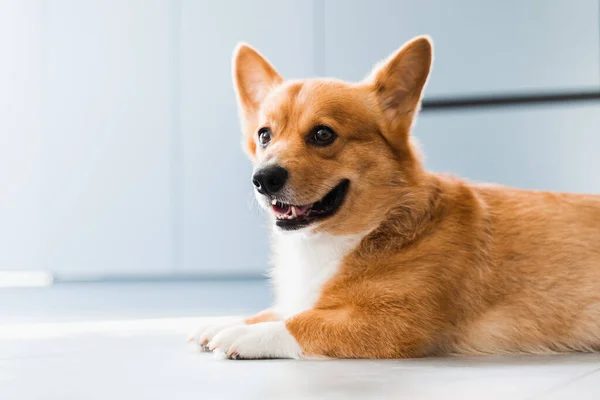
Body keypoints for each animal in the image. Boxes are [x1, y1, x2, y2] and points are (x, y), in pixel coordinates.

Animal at [190, 35, 600, 360]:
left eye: (323, 134)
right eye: (264, 135)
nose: (263, 179)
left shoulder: (395, 323)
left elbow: (302, 323)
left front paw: (245, 333)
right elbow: (284, 309)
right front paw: (224, 322)